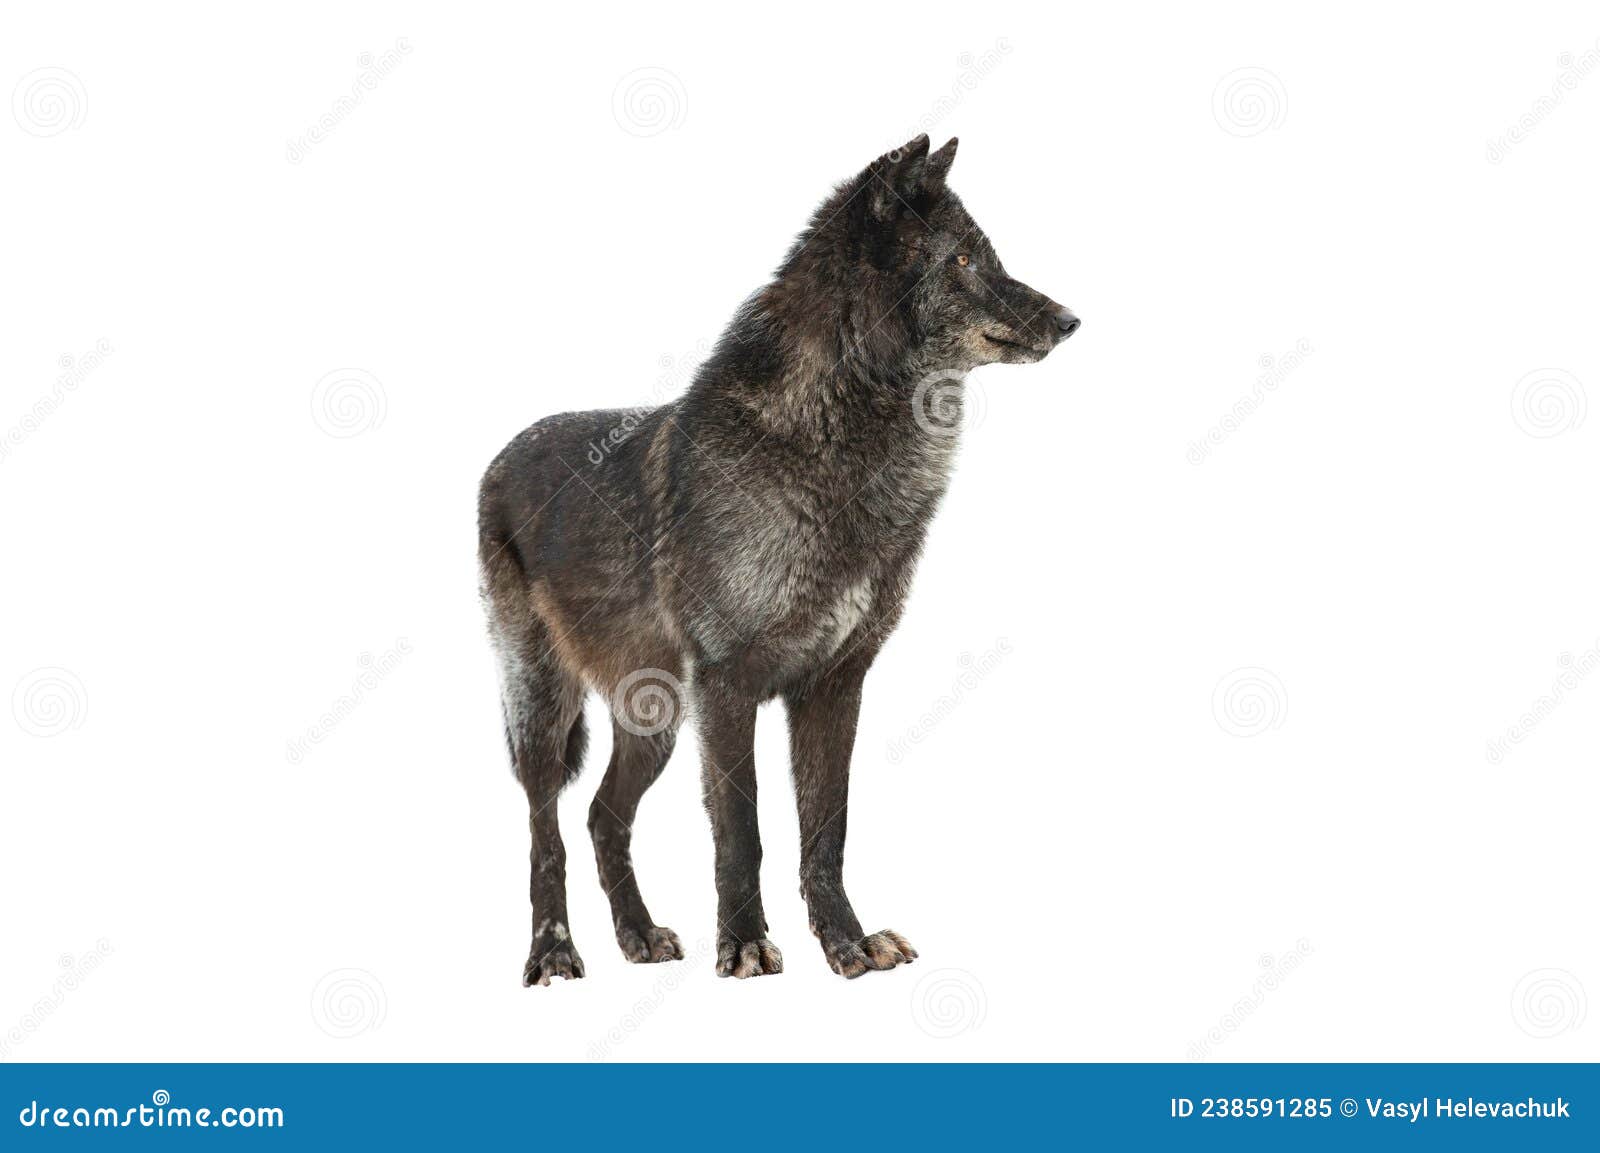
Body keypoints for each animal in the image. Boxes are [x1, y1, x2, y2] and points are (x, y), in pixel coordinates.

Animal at [478, 135, 1077, 984]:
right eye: (961, 258)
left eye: (987, 253)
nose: (1069, 320)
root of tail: (500, 454)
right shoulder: (727, 687)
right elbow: (743, 830)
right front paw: (745, 944)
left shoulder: (834, 684)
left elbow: (826, 831)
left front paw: (848, 944)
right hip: (543, 705)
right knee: (544, 828)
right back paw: (553, 952)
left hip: (655, 721)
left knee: (600, 817)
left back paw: (638, 934)